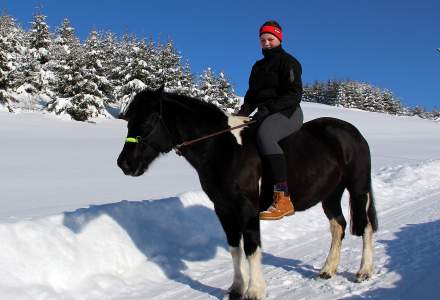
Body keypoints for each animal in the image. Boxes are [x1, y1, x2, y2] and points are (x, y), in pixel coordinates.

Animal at [117, 85, 378, 300]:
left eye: (149, 120)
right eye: (129, 121)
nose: (124, 163)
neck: (223, 148)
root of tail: (352, 132)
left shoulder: (247, 208)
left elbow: (252, 246)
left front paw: (255, 291)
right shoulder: (223, 208)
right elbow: (235, 248)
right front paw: (236, 289)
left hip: (358, 188)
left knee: (365, 225)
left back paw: (364, 271)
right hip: (330, 194)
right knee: (338, 226)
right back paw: (328, 270)